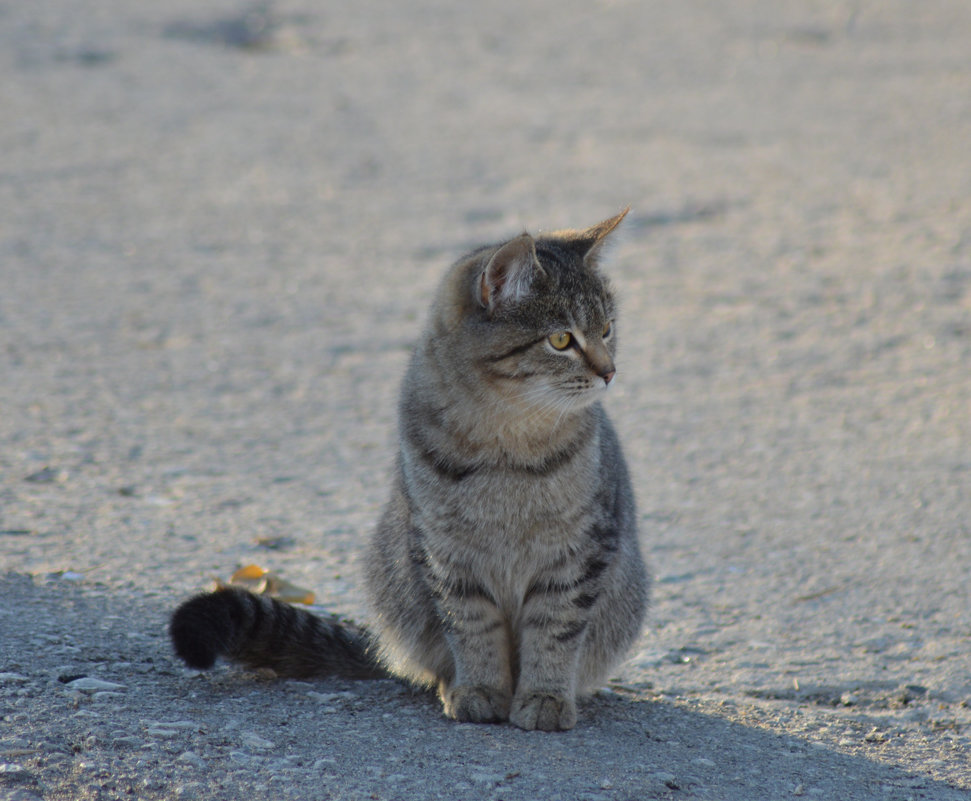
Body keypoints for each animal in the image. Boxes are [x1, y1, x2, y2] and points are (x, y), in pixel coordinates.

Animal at [170, 211, 648, 732]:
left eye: (607, 329)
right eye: (561, 339)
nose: (611, 371)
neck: (506, 436)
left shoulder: (580, 551)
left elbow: (556, 629)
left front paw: (545, 695)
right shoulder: (445, 554)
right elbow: (473, 629)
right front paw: (480, 688)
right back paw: (450, 684)